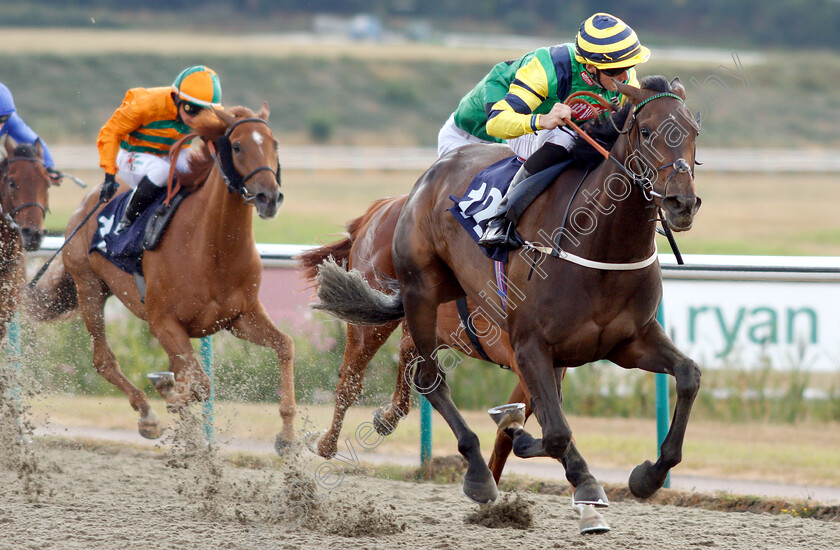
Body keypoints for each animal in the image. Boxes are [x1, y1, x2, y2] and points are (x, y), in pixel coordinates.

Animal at [23, 104, 296, 448]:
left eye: (275, 145)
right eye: (237, 146)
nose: (268, 197)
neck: (213, 249)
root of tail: (87, 205)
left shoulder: (240, 317)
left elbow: (285, 345)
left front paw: (287, 435)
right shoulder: (163, 322)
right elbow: (200, 383)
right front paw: (169, 397)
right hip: (89, 288)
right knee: (103, 360)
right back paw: (147, 414)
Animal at [312, 77, 700, 508]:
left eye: (695, 132)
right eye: (645, 131)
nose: (681, 202)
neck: (601, 249)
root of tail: (406, 194)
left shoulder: (628, 341)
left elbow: (688, 375)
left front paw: (648, 475)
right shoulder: (529, 348)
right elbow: (555, 430)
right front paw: (579, 476)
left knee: (415, 366)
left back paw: (393, 420)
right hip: (410, 298)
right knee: (388, 378)